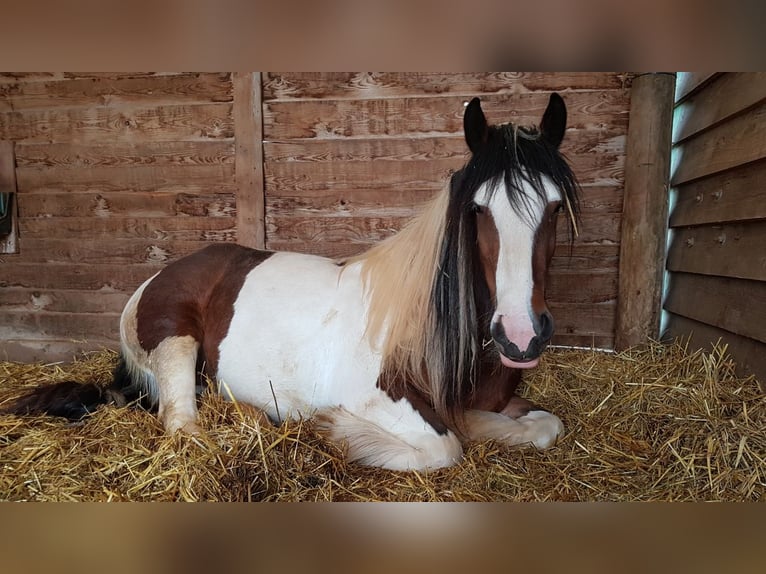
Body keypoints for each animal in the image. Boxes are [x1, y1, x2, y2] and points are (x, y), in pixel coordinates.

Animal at [4, 94, 584, 472]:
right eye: (477, 210)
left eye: (555, 207)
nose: (520, 335)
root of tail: (153, 278)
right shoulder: (384, 401)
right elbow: (445, 448)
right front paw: (334, 429)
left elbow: (543, 426)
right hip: (174, 341)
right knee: (182, 423)